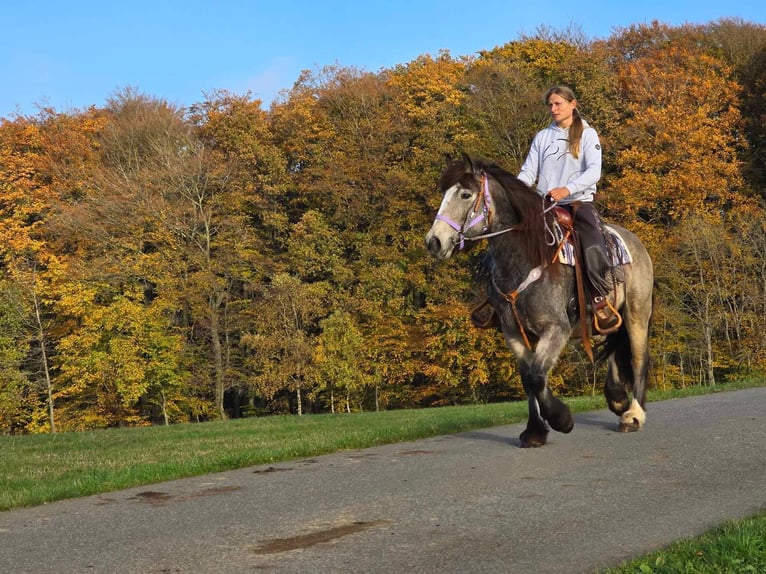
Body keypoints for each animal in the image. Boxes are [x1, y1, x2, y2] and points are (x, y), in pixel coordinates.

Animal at [426, 154, 656, 450]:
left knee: (639, 358)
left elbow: (537, 376)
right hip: (608, 319)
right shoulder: (514, 332)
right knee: (616, 347)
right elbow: (528, 378)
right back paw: (617, 400)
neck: (526, 258)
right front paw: (534, 431)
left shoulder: (556, 328)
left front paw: (561, 419)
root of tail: (633, 241)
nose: (434, 241)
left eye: (465, 194)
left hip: (636, 313)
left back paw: (633, 415)